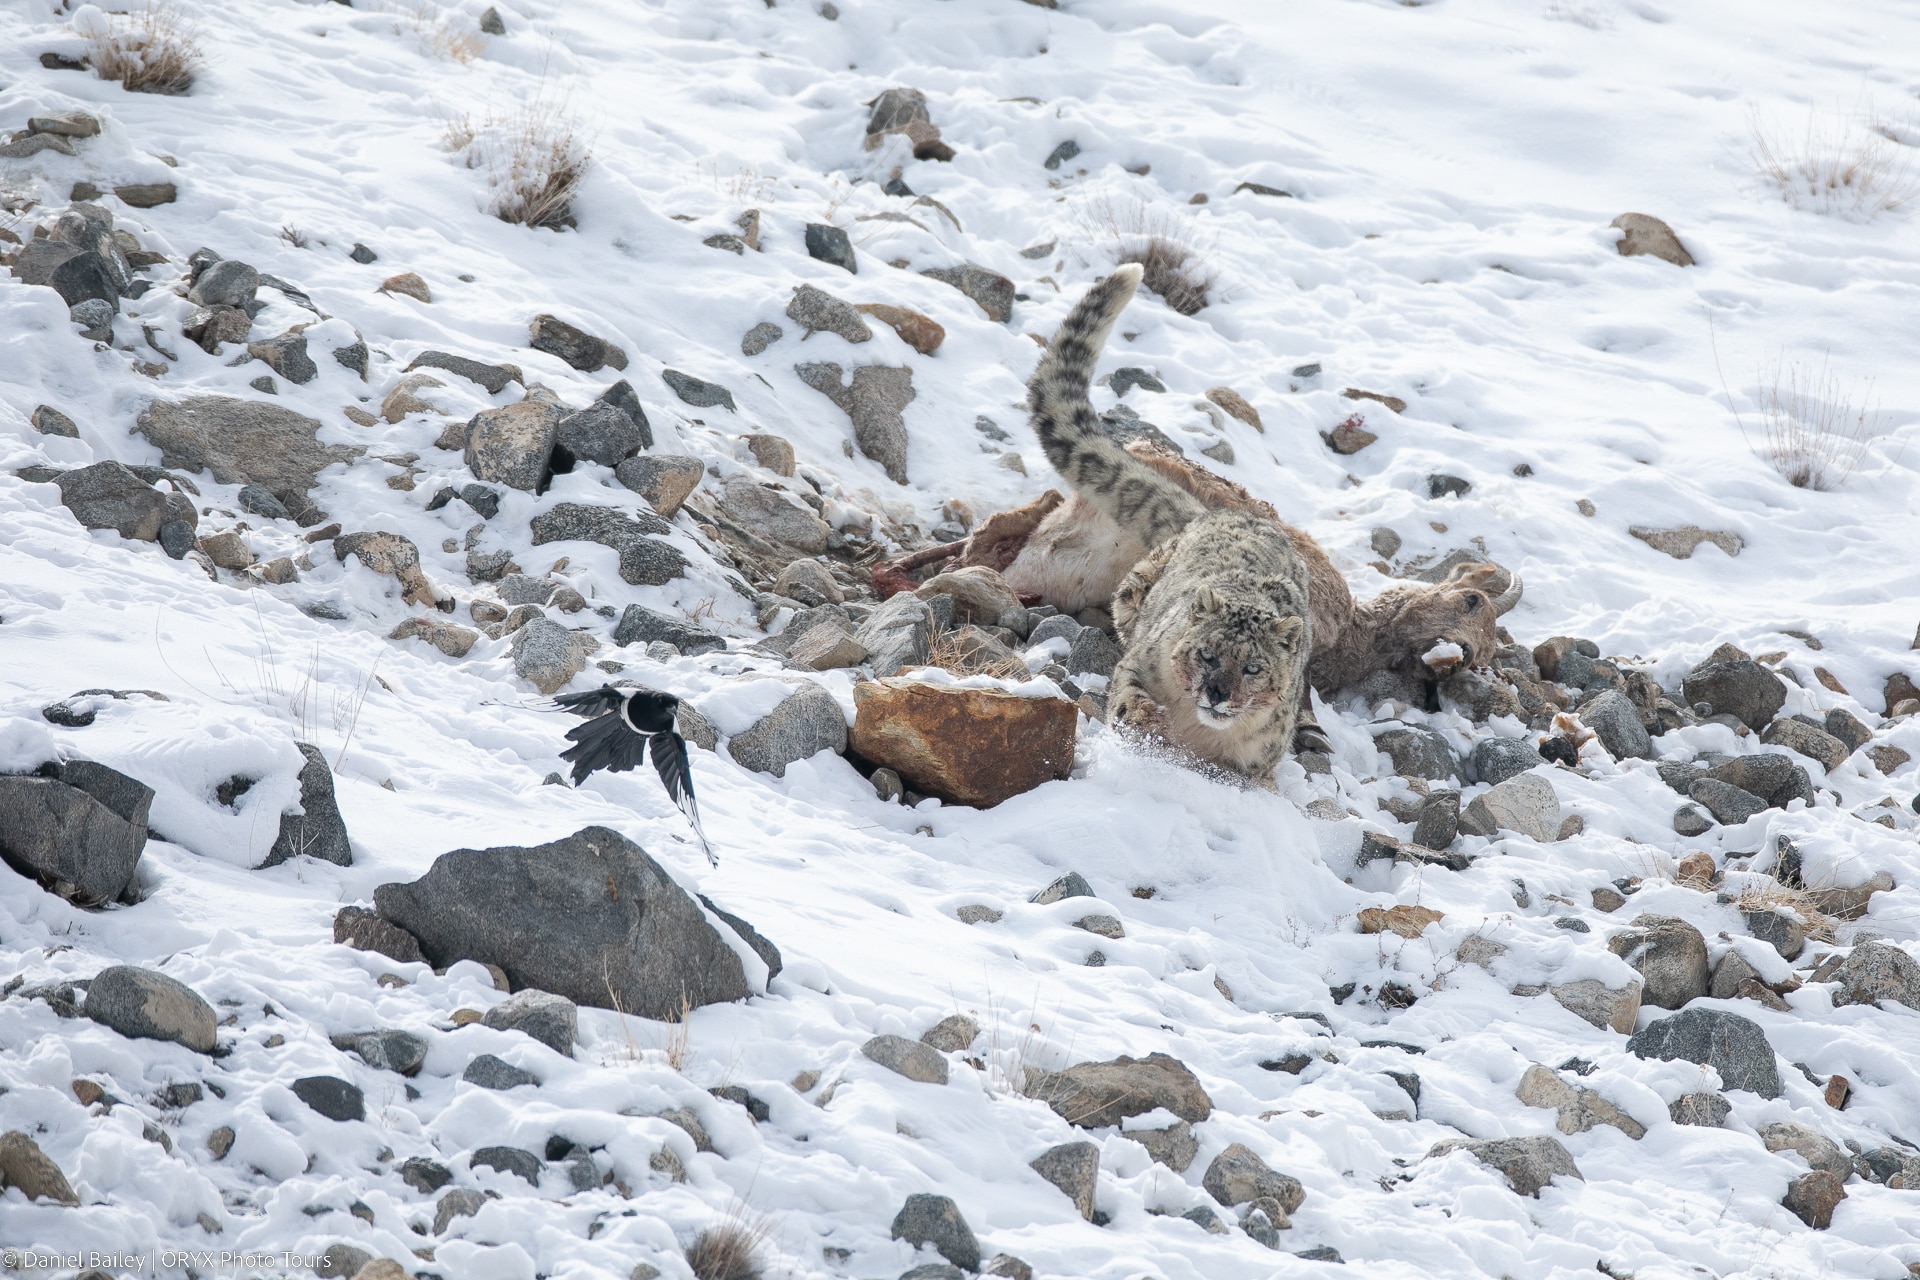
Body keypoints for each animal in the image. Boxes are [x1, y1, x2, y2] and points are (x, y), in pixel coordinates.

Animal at [1029, 266, 1313, 786]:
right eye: (1207, 654)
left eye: (1254, 667)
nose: (1218, 692)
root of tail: (1222, 513)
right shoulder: (1140, 663)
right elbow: (1127, 696)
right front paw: (1149, 723)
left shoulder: (1258, 762)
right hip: (1131, 594)